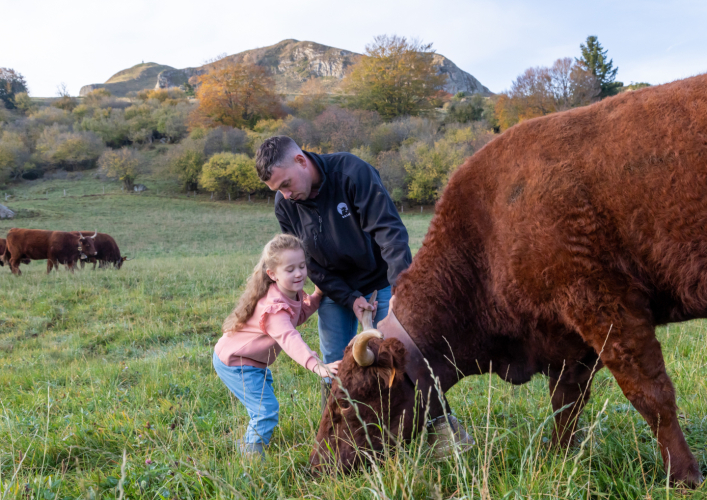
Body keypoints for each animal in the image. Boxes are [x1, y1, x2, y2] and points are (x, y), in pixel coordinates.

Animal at [312, 72, 707, 486]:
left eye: (348, 404)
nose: (317, 466)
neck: (489, 228)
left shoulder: (607, 307)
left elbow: (651, 394)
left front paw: (683, 475)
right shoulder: (569, 344)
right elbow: (566, 404)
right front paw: (557, 456)